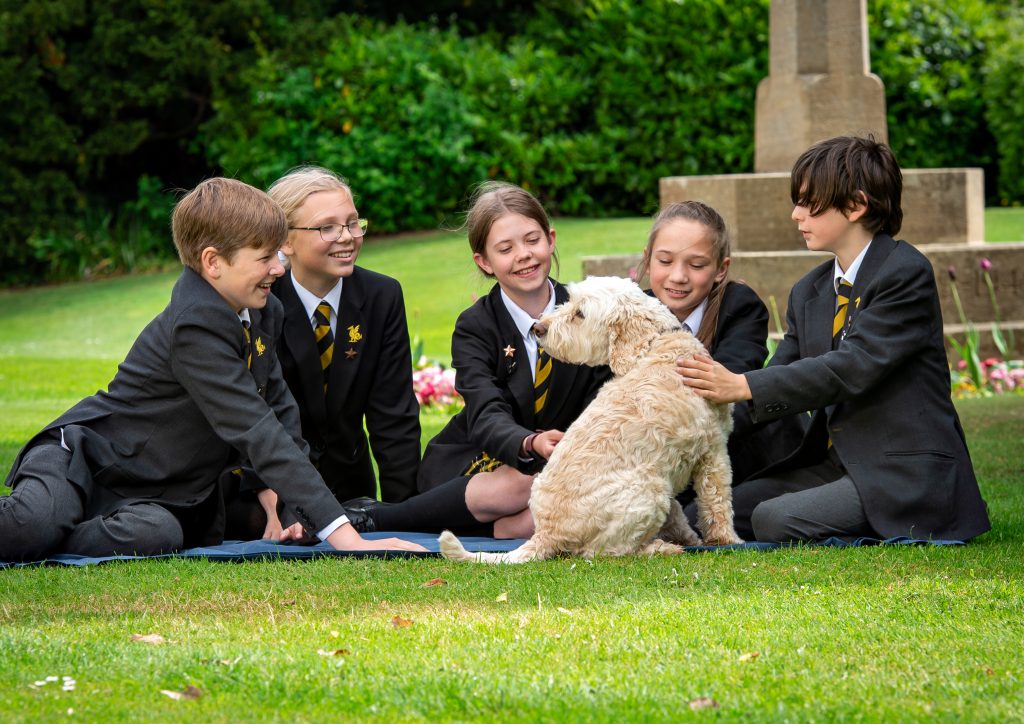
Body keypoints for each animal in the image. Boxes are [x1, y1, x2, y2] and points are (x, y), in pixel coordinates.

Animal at [436, 274, 741, 565]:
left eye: (579, 313)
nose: (539, 328)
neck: (656, 343)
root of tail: (546, 534)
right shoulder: (713, 451)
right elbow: (717, 502)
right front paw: (727, 540)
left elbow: (679, 512)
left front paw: (692, 538)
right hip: (648, 489)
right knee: (602, 552)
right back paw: (659, 548)